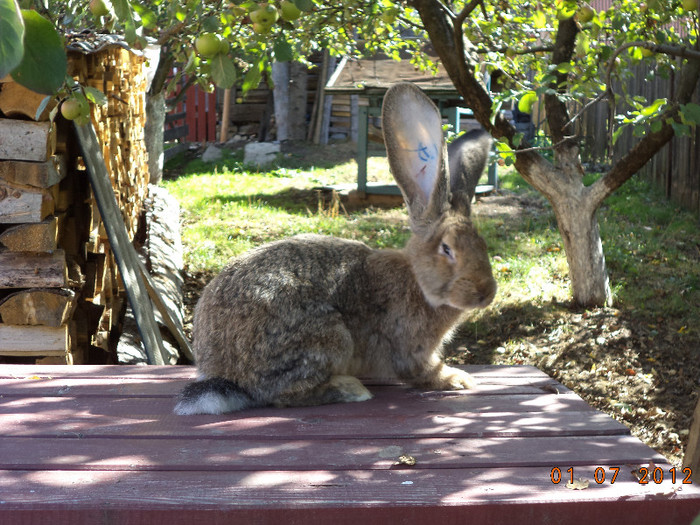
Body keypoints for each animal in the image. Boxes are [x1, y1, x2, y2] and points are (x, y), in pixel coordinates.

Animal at [172, 82, 494, 416]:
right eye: (447, 249)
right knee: (284, 395)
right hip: (327, 337)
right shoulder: (410, 348)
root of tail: (227, 375)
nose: (487, 293)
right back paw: (350, 389)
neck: (417, 281)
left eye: (482, 245)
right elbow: (424, 372)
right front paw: (458, 379)